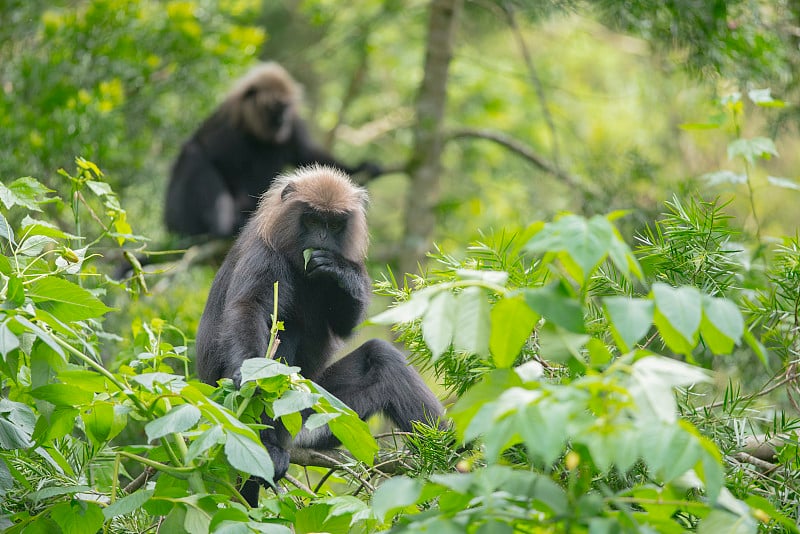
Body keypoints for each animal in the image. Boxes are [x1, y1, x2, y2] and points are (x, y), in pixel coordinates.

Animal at [164, 62, 382, 239]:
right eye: (274, 108)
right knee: (193, 155)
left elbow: (308, 156)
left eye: (285, 108)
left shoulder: (293, 126)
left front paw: (362, 168)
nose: (281, 121)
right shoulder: (227, 127)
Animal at [195, 164, 444, 506]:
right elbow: (249, 309)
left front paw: (343, 272)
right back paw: (268, 447)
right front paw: (251, 377)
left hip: (317, 415)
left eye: (334, 224)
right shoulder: (264, 254)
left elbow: (344, 325)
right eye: (312, 221)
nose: (321, 239)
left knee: (381, 357)